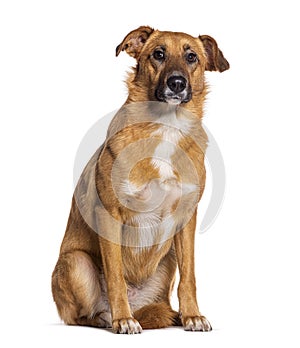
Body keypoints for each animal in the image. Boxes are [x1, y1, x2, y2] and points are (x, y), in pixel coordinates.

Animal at [52, 25, 230, 334]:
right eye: (158, 54)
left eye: (192, 57)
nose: (177, 83)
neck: (166, 126)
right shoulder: (109, 213)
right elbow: (115, 277)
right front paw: (122, 319)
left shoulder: (187, 219)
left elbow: (189, 277)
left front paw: (193, 315)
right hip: (76, 262)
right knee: (81, 316)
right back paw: (109, 317)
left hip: (167, 262)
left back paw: (169, 315)